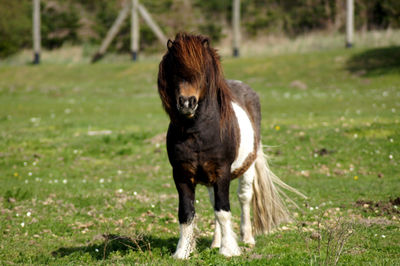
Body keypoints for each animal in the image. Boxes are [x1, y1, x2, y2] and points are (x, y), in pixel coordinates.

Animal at [156, 32, 304, 258]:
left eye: (203, 71)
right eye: (174, 70)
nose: (187, 103)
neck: (197, 133)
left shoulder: (222, 172)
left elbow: (223, 210)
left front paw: (229, 250)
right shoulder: (181, 174)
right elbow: (187, 213)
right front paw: (182, 252)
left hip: (247, 168)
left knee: (244, 198)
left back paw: (247, 239)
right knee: (213, 202)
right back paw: (215, 243)